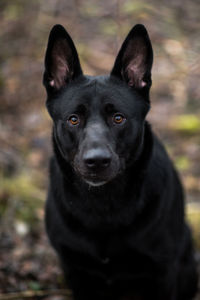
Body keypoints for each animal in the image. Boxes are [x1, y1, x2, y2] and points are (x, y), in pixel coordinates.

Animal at [43, 24, 198, 300]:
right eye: (73, 119)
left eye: (118, 118)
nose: (96, 161)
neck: (104, 204)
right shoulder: (75, 271)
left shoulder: (163, 271)